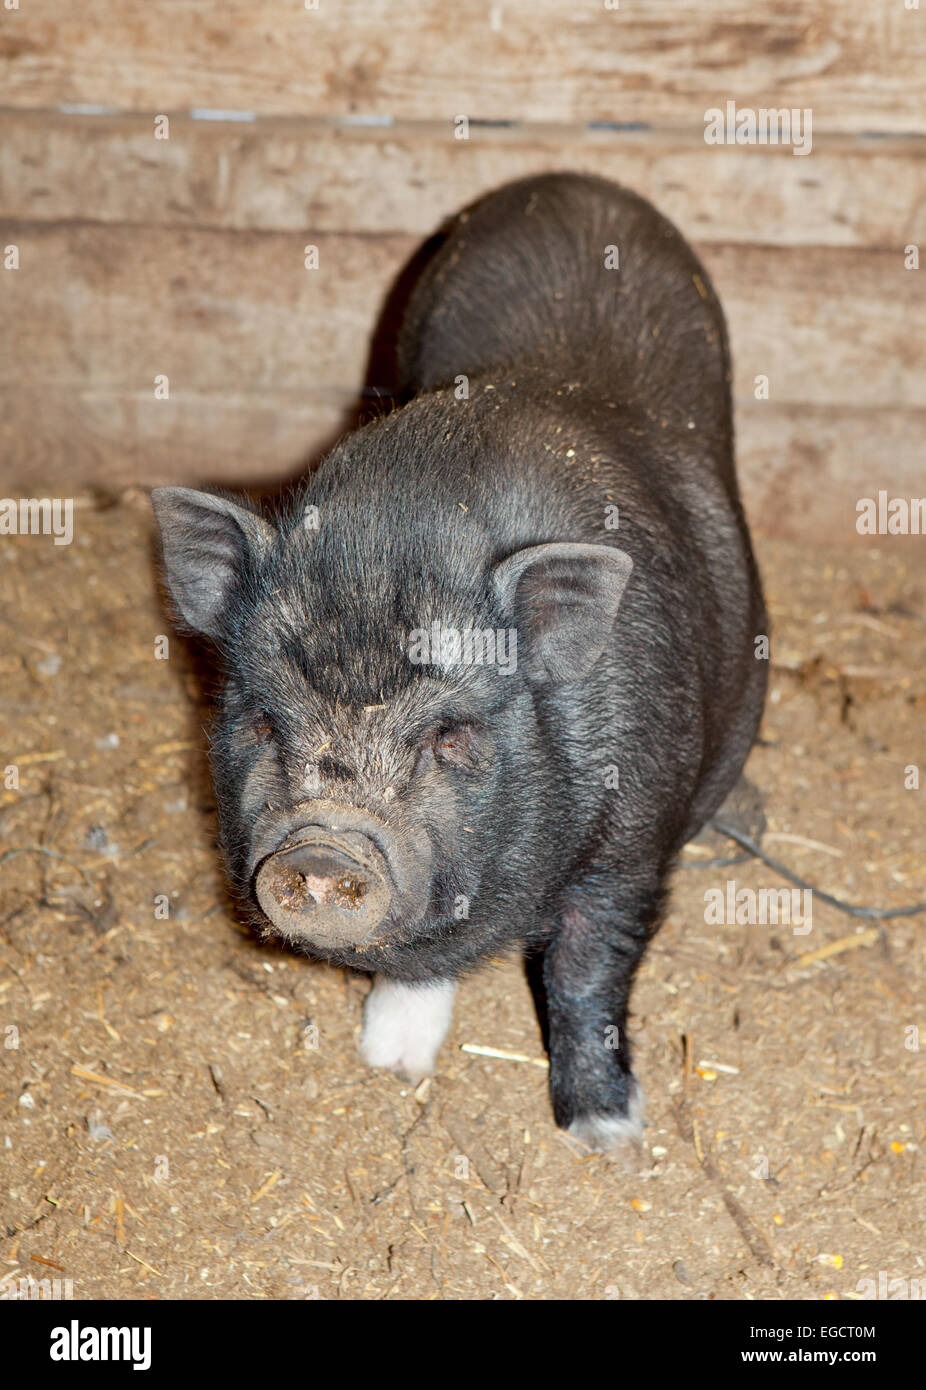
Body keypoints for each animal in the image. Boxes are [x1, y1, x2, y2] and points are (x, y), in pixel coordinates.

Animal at [152, 172, 767, 1153]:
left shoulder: (633, 835)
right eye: (264, 721)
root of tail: (579, 183)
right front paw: (388, 1063)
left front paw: (608, 1137)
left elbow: (588, 966)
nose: (322, 845)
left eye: (450, 736)